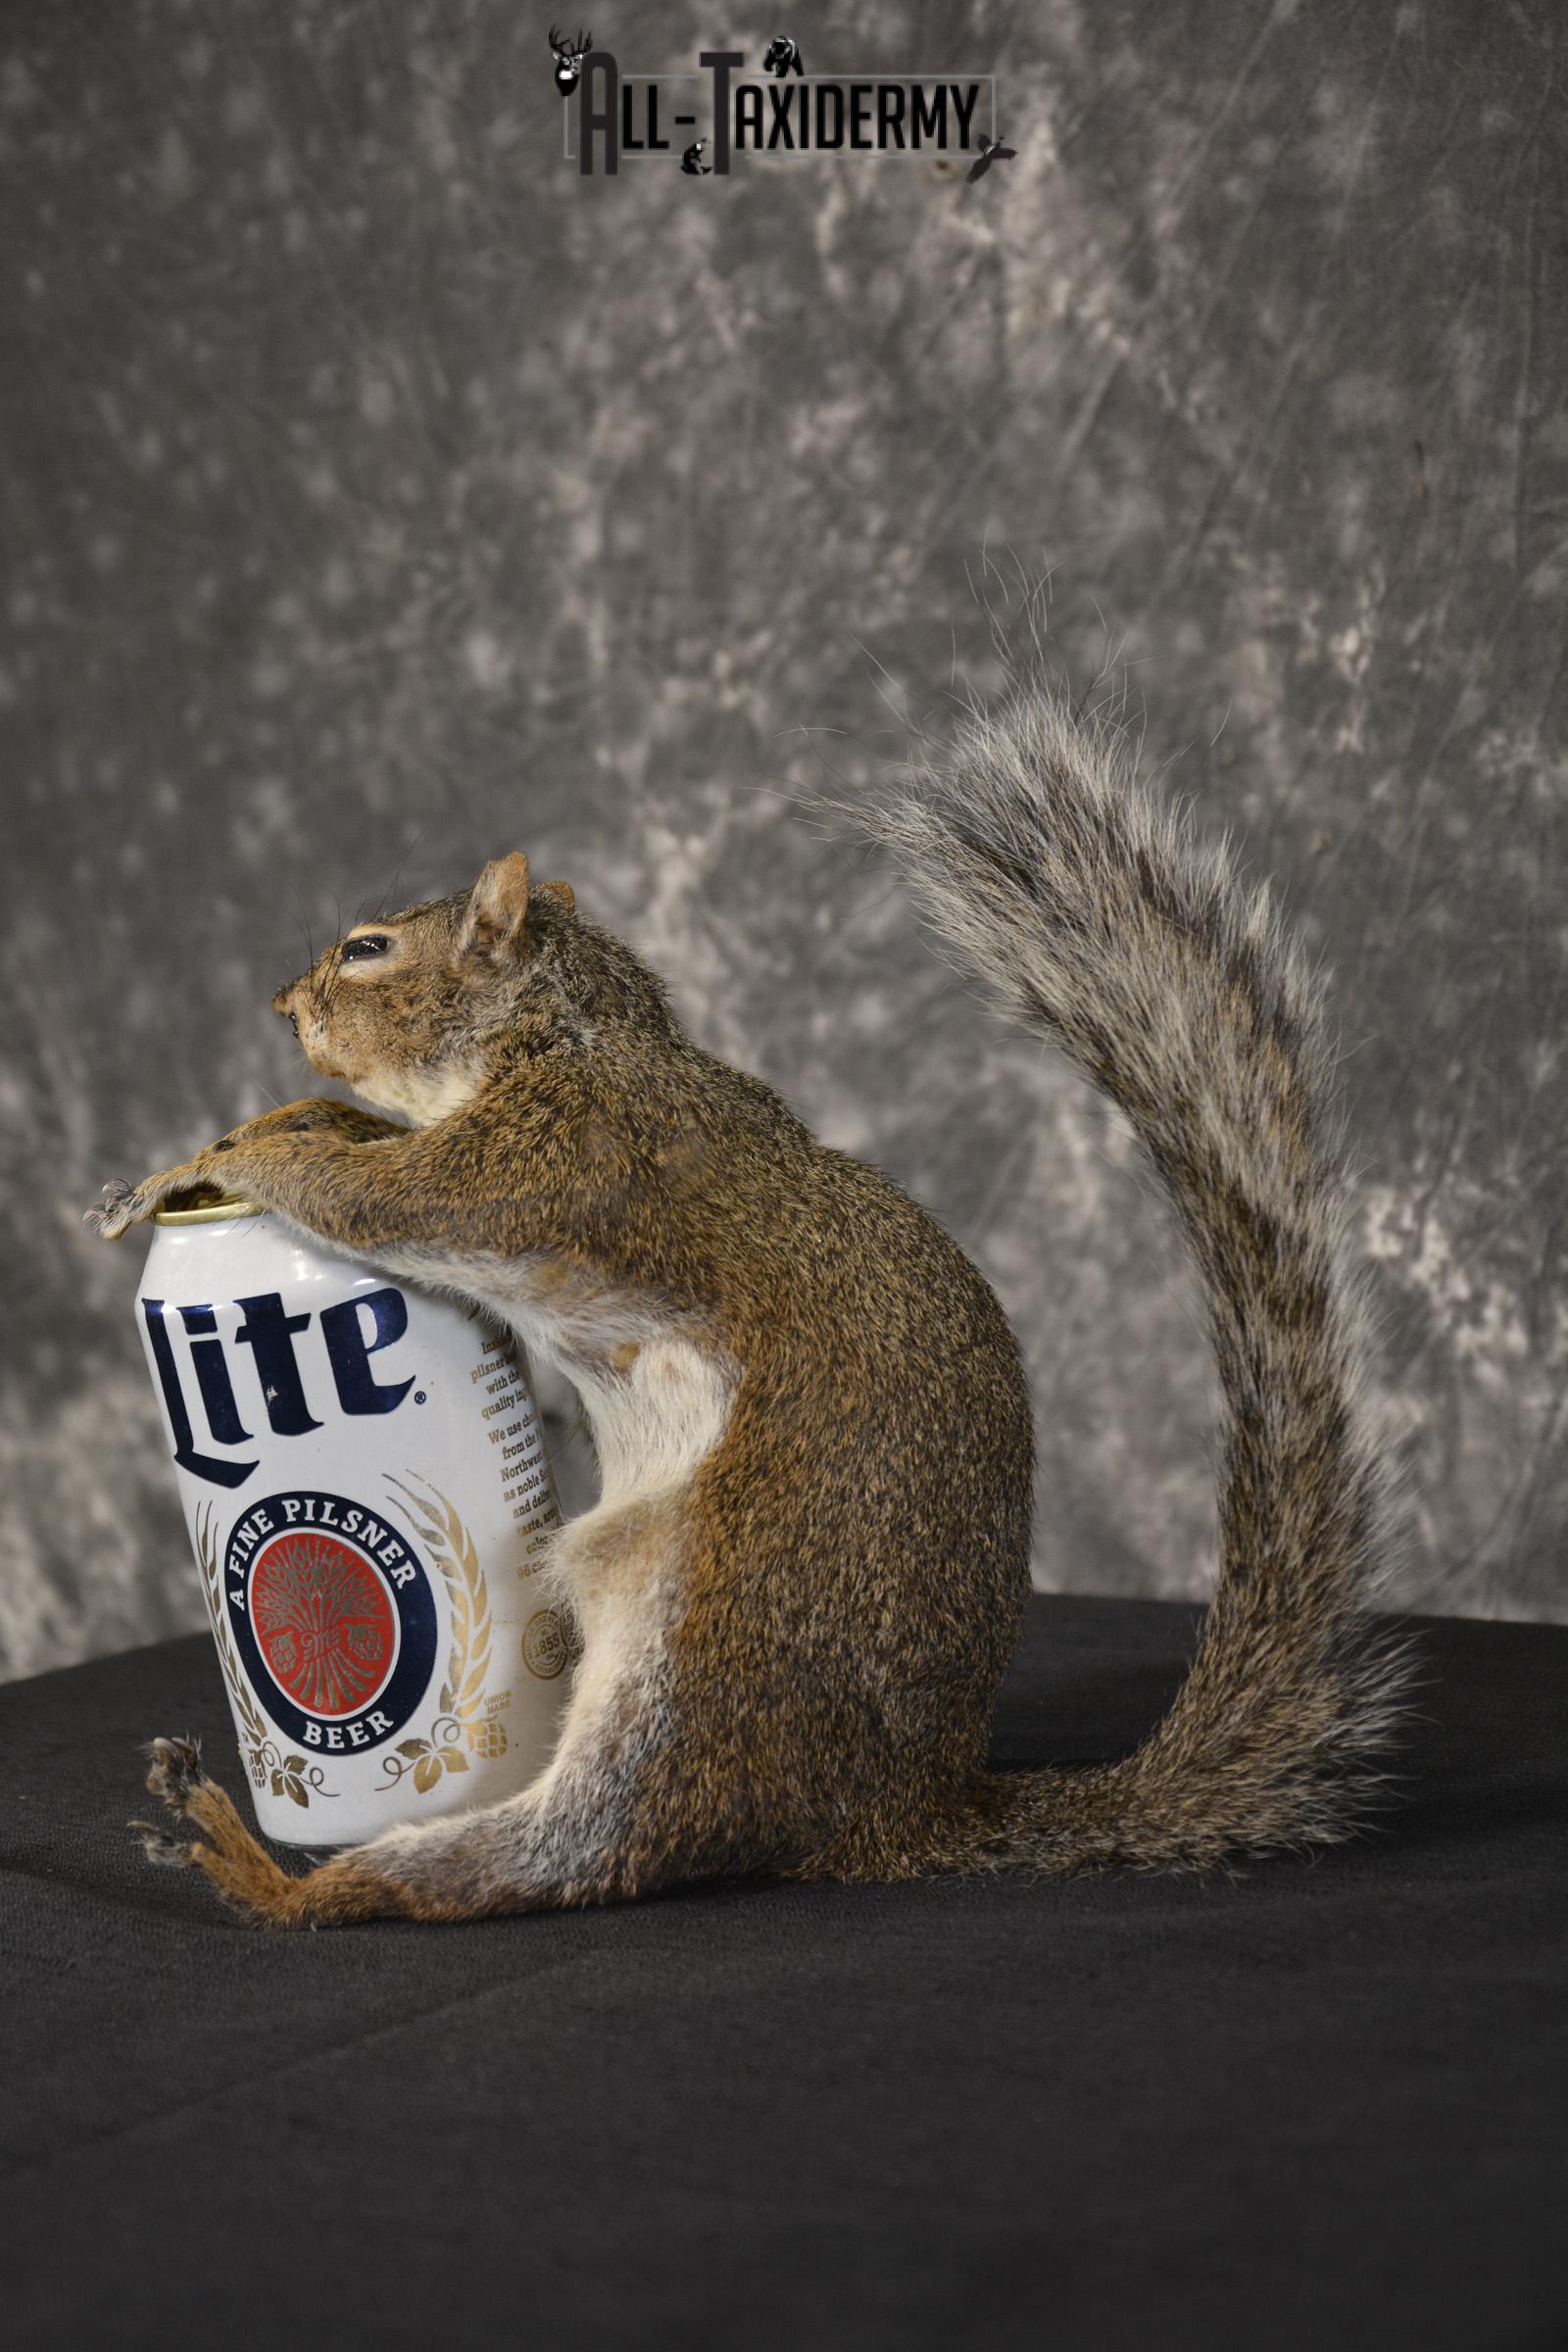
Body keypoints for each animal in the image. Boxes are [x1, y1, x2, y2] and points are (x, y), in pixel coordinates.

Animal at [94, 673, 1406, 1928]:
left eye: (368, 949)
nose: (281, 1003)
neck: (566, 1036)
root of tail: (897, 1812)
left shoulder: (548, 1160)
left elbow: (375, 1193)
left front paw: (221, 1165)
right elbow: (347, 1140)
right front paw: (237, 1138)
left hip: (709, 1650)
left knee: (560, 1856)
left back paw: (263, 1871)